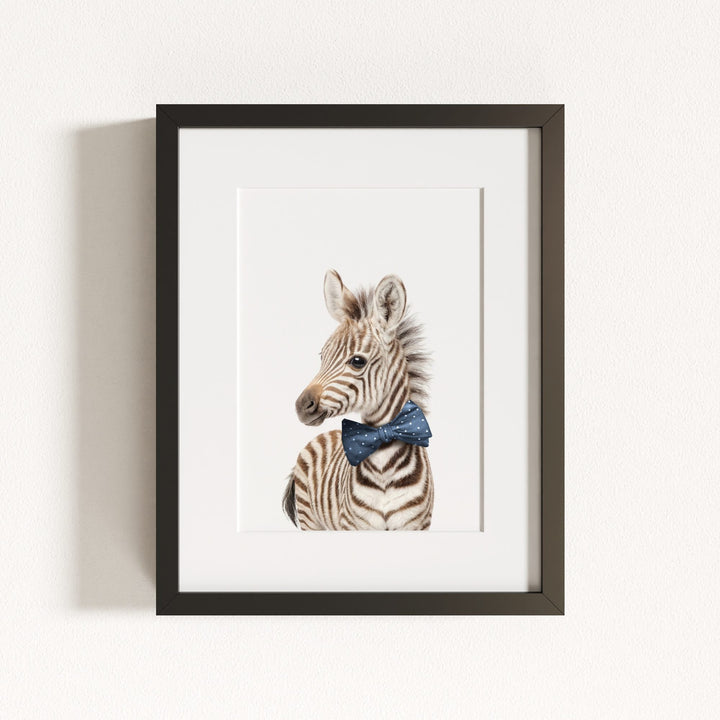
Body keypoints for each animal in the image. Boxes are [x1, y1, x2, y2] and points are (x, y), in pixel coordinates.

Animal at [282, 270, 433, 531]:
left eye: (357, 361)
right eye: (322, 356)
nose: (301, 406)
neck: (384, 466)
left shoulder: (416, 525)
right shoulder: (354, 526)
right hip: (310, 519)